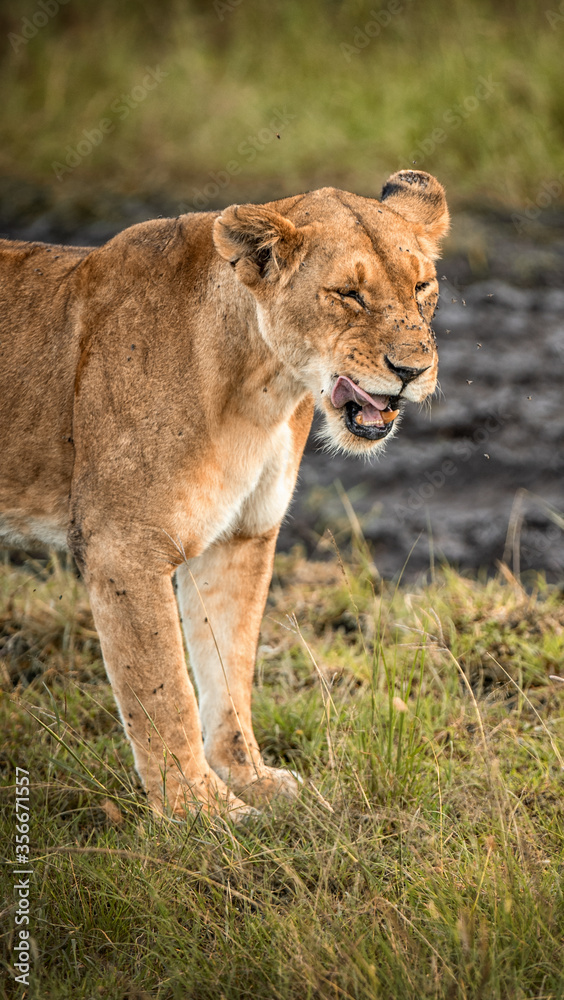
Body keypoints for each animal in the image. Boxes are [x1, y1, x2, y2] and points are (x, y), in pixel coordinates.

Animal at [0, 170, 449, 820]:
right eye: (348, 294)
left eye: (421, 286)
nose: (413, 371)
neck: (260, 389)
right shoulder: (123, 546)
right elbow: (163, 692)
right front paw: (201, 814)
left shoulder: (240, 537)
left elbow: (228, 669)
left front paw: (249, 779)